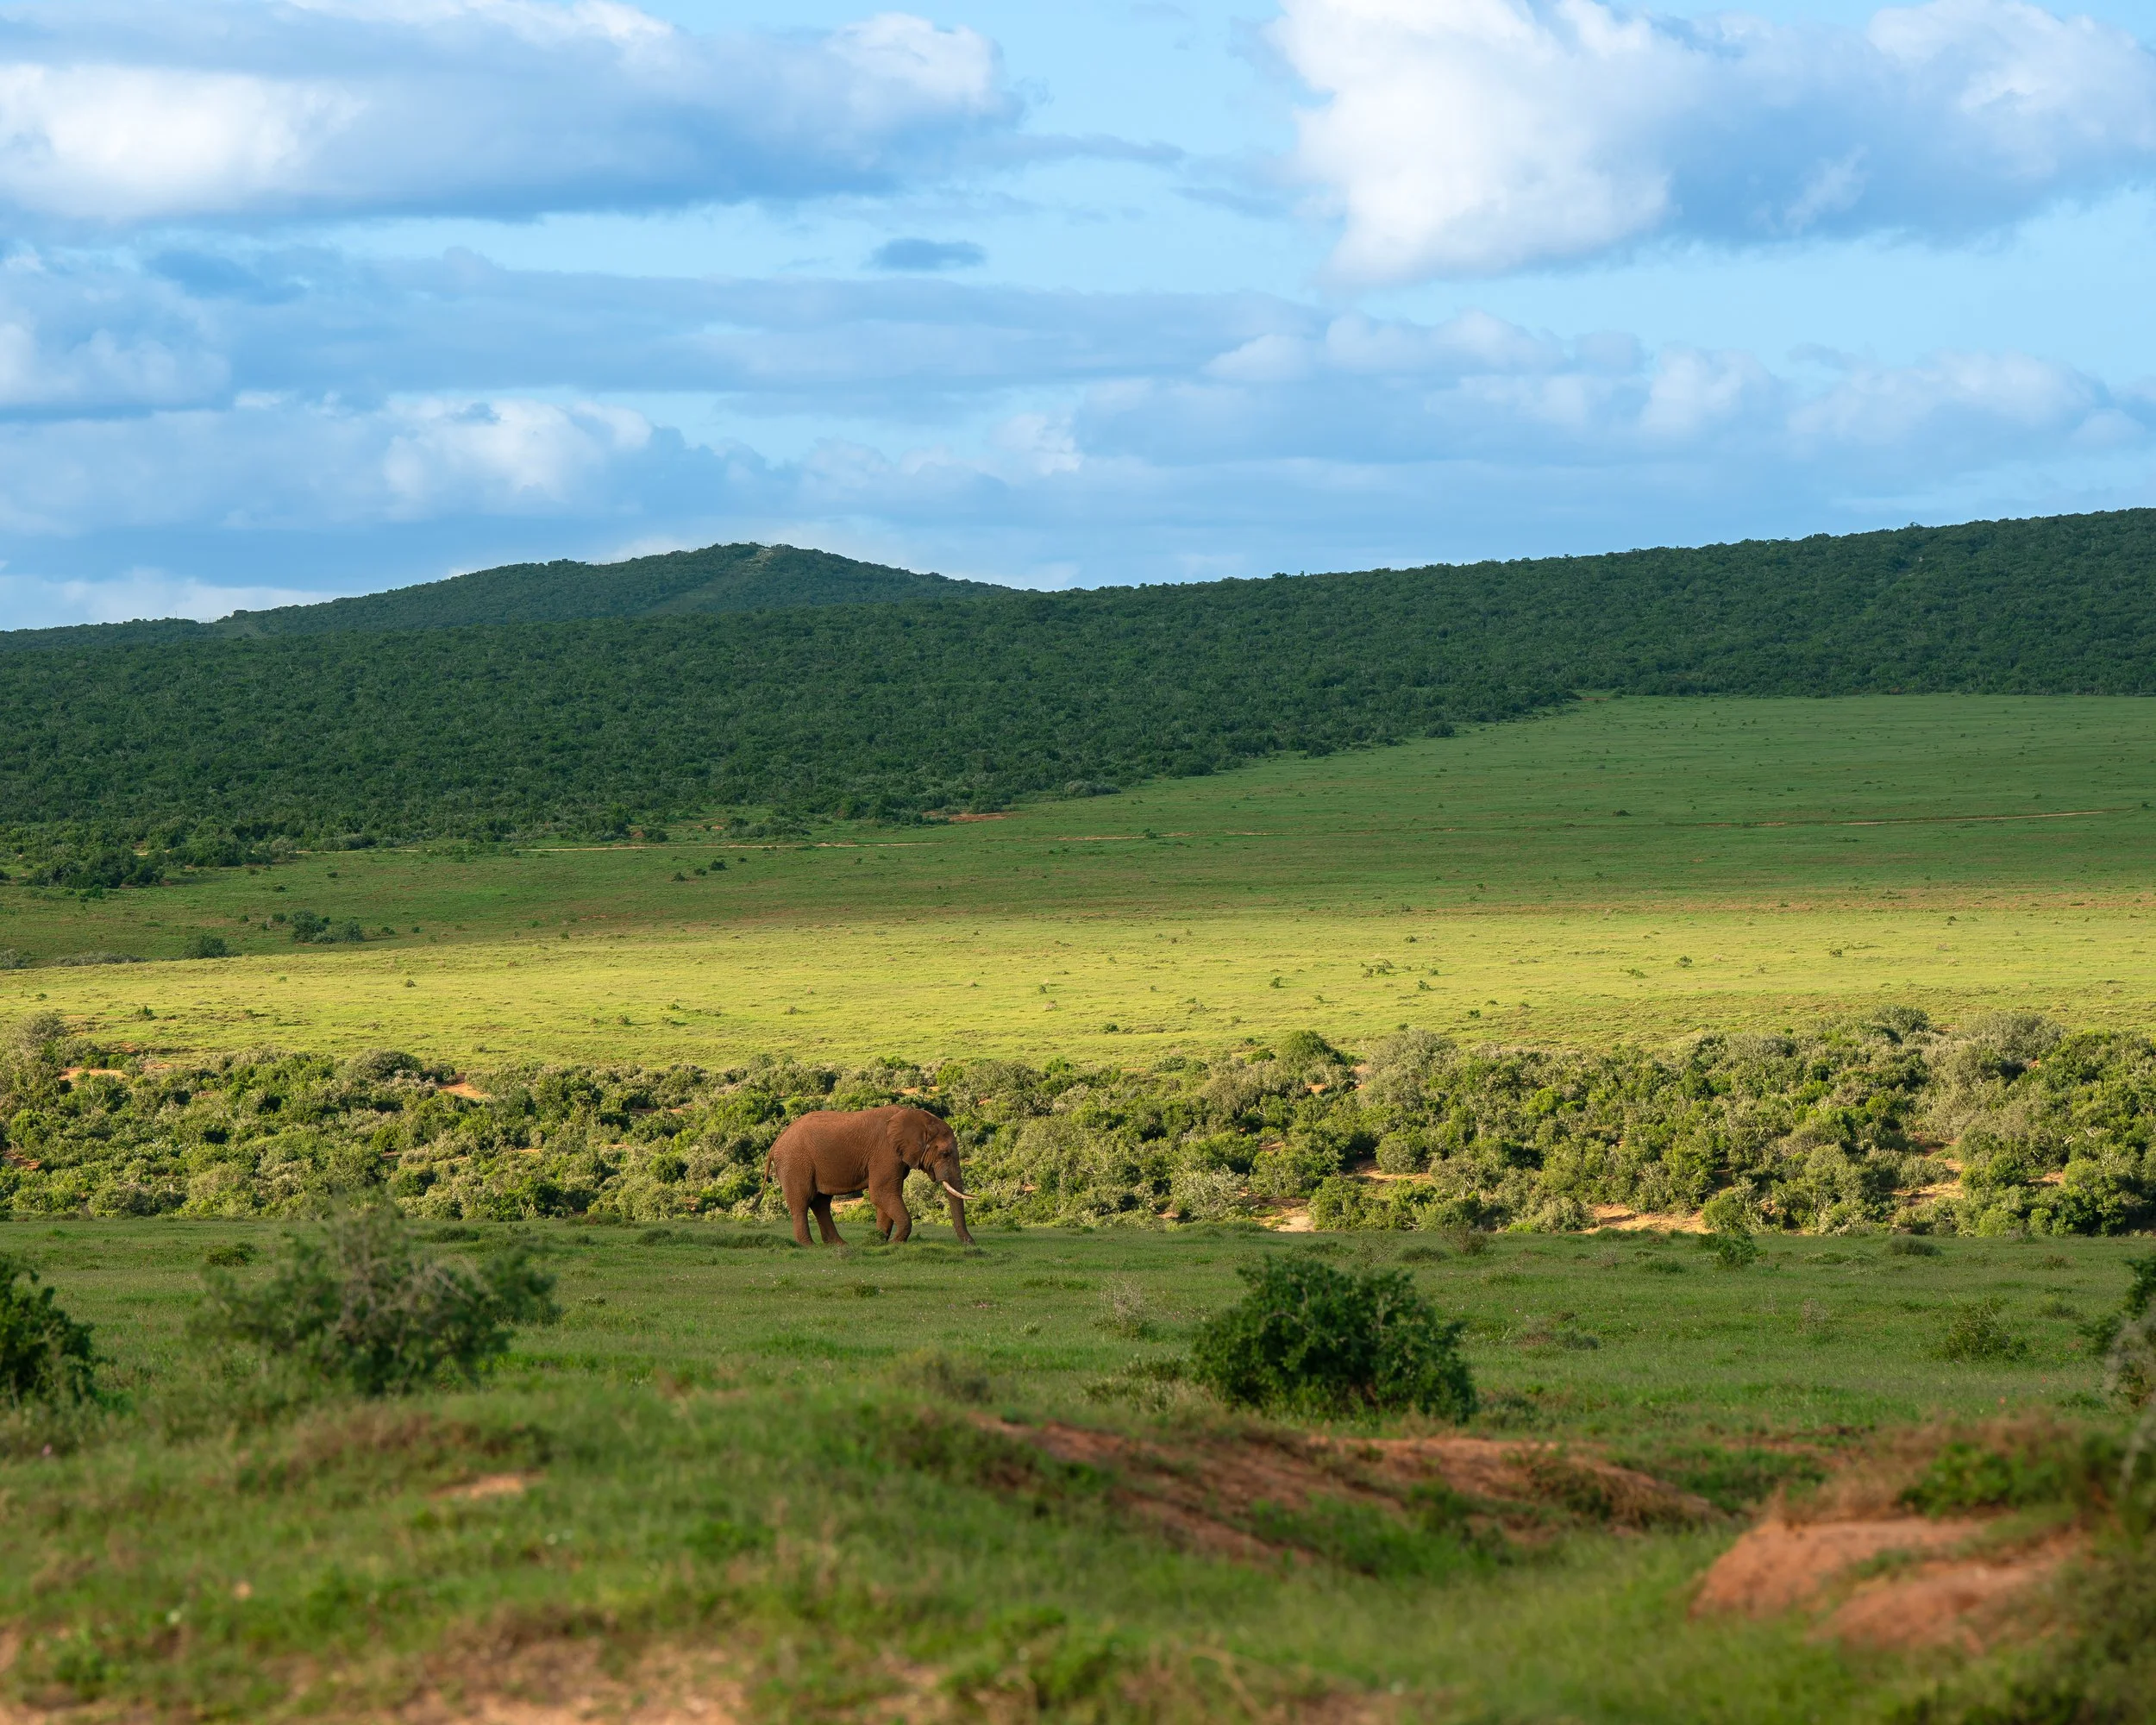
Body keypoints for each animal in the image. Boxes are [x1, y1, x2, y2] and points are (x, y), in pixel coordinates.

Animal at [766, 1104, 975, 1247]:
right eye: (945, 1154)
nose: (971, 1243)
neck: (916, 1117)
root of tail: (776, 1142)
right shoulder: (886, 1153)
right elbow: (882, 1193)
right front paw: (895, 1243)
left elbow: (887, 1196)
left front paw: (878, 1242)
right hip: (795, 1163)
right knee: (802, 1202)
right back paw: (809, 1246)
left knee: (821, 1203)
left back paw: (838, 1245)